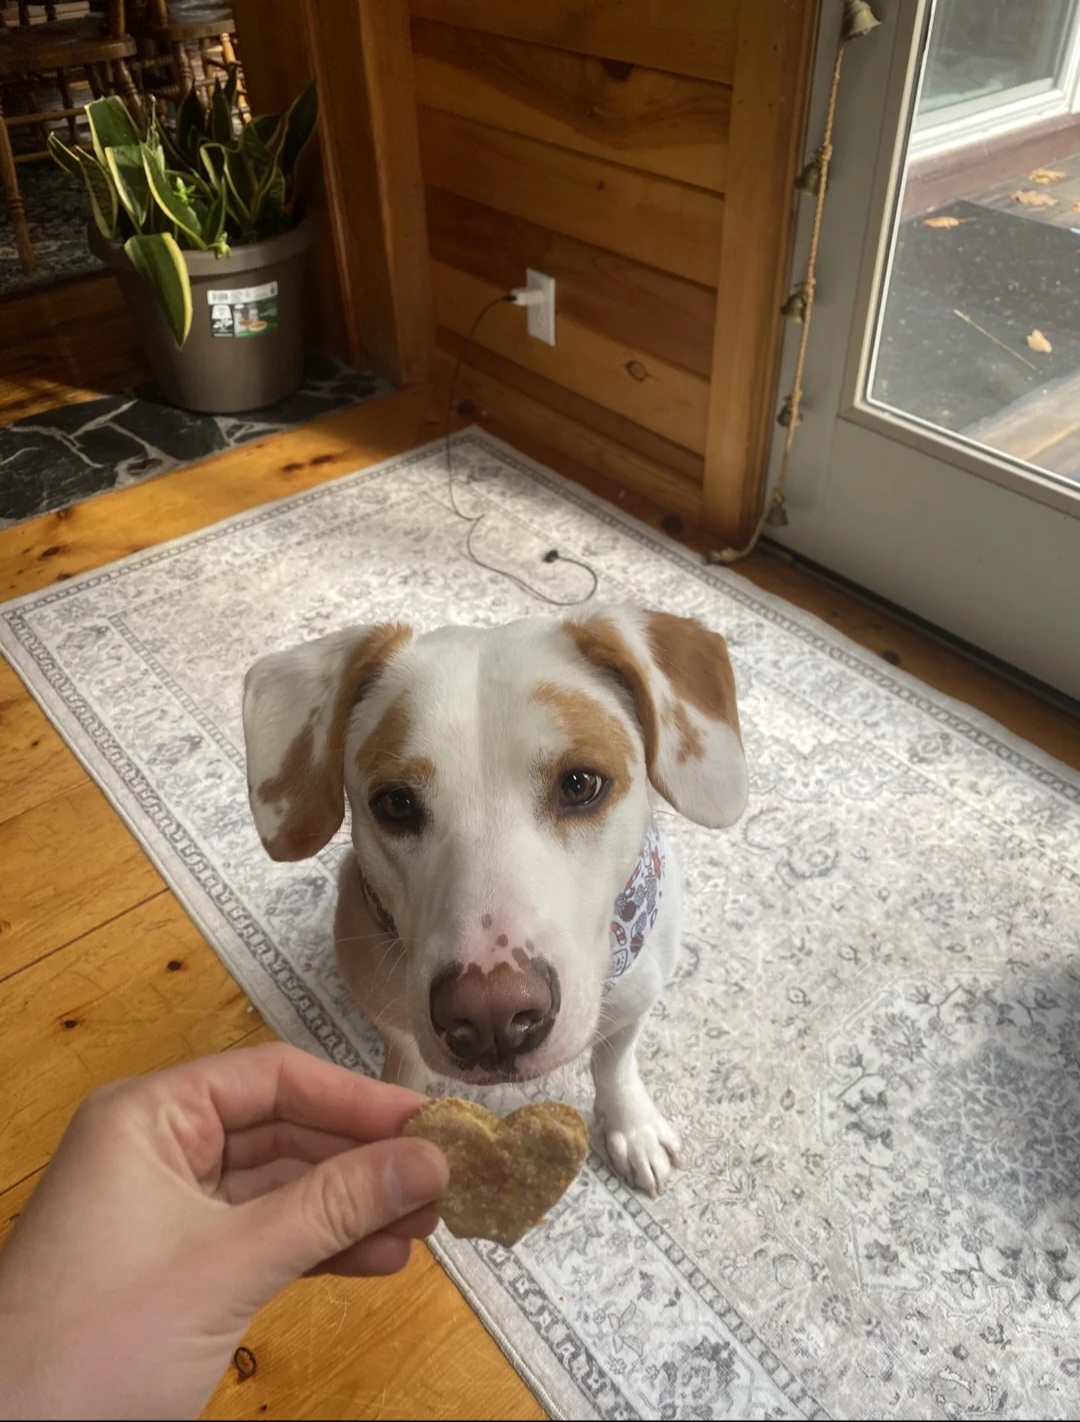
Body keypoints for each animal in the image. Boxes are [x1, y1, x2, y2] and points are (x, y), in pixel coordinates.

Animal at [242, 605, 747, 1196]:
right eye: (396, 803)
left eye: (580, 784)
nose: (492, 1018)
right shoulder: (399, 1028)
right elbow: (406, 1075)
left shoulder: (635, 999)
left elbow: (614, 1063)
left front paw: (632, 1126)